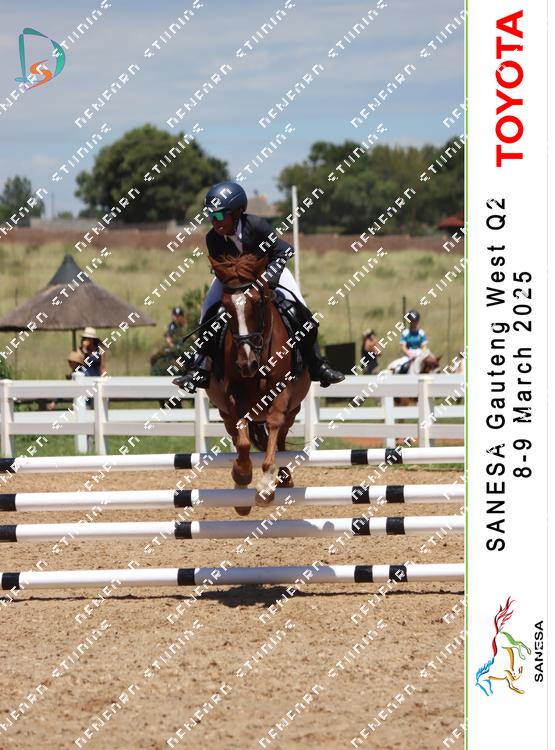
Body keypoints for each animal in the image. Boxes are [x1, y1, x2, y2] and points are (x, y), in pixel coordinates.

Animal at [204, 254, 311, 516]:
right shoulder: (233, 397)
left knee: (280, 437)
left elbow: (273, 426)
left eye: (257, 303)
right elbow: (242, 437)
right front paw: (242, 474)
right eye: (227, 308)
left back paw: (284, 478)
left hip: (293, 410)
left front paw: (266, 485)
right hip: (224, 412)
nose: (247, 364)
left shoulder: (282, 393)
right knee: (235, 434)